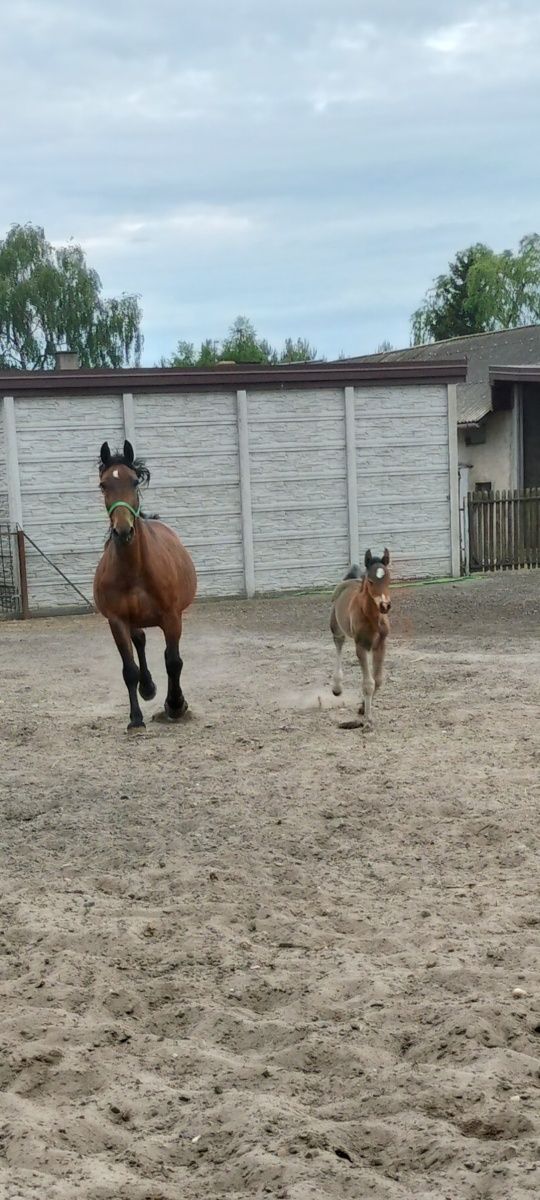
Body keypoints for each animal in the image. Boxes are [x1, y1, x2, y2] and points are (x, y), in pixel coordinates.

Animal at [93, 444, 196, 729]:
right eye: (103, 485)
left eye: (134, 481)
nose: (123, 530)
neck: (135, 570)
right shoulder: (117, 621)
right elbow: (129, 670)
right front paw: (136, 718)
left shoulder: (171, 617)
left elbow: (173, 661)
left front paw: (176, 705)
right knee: (139, 640)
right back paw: (147, 687)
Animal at [331, 547, 391, 729]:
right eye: (370, 581)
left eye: (388, 579)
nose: (385, 606)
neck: (371, 617)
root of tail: (351, 578)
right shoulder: (361, 646)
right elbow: (368, 683)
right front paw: (368, 721)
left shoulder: (380, 645)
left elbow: (377, 680)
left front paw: (363, 709)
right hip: (336, 628)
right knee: (338, 644)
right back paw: (337, 687)